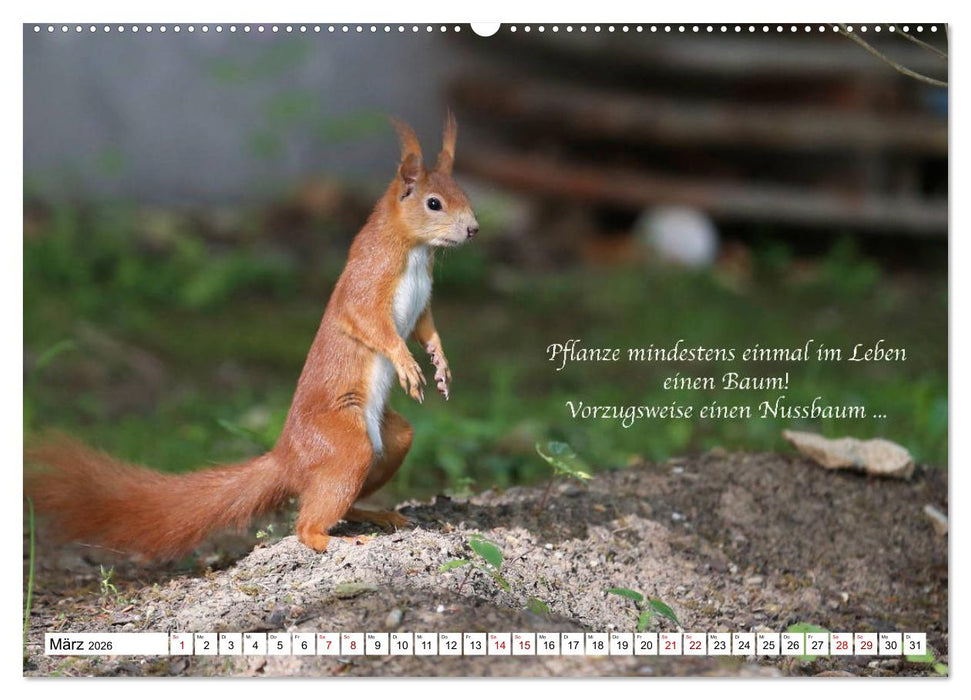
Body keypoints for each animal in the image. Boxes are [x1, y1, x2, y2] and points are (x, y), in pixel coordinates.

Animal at [25, 114, 479, 561]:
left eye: (462, 192)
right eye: (434, 203)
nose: (474, 229)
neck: (416, 251)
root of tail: (287, 458)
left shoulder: (422, 304)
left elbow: (425, 329)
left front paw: (440, 363)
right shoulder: (366, 285)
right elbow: (371, 324)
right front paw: (406, 364)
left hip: (392, 440)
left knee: (341, 497)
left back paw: (377, 514)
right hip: (348, 445)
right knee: (305, 523)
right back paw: (333, 539)